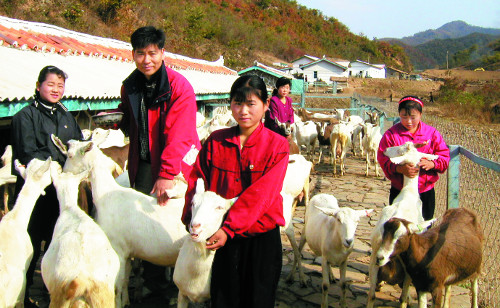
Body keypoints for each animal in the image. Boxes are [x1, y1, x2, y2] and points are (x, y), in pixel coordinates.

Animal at [52, 138, 188, 306]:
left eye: (70, 155)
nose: (63, 172)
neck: (106, 195)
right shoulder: (128, 251)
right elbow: (124, 282)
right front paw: (126, 302)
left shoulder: (118, 250)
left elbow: (117, 285)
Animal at [368, 141, 438, 308]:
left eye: (399, 150)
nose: (386, 149)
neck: (409, 192)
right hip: (408, 267)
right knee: (402, 297)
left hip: (374, 258)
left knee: (371, 295)